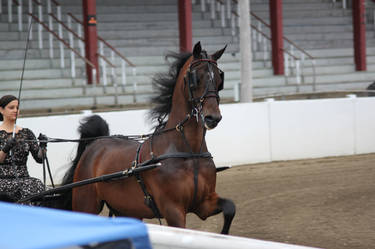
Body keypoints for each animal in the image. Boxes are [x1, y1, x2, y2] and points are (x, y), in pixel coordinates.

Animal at [57, 41, 236, 234]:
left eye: (219, 79)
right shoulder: (173, 209)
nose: (213, 117)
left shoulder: (203, 203)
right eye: (196, 78)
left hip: (126, 210)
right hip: (86, 204)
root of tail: (95, 145)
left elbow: (230, 208)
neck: (189, 152)